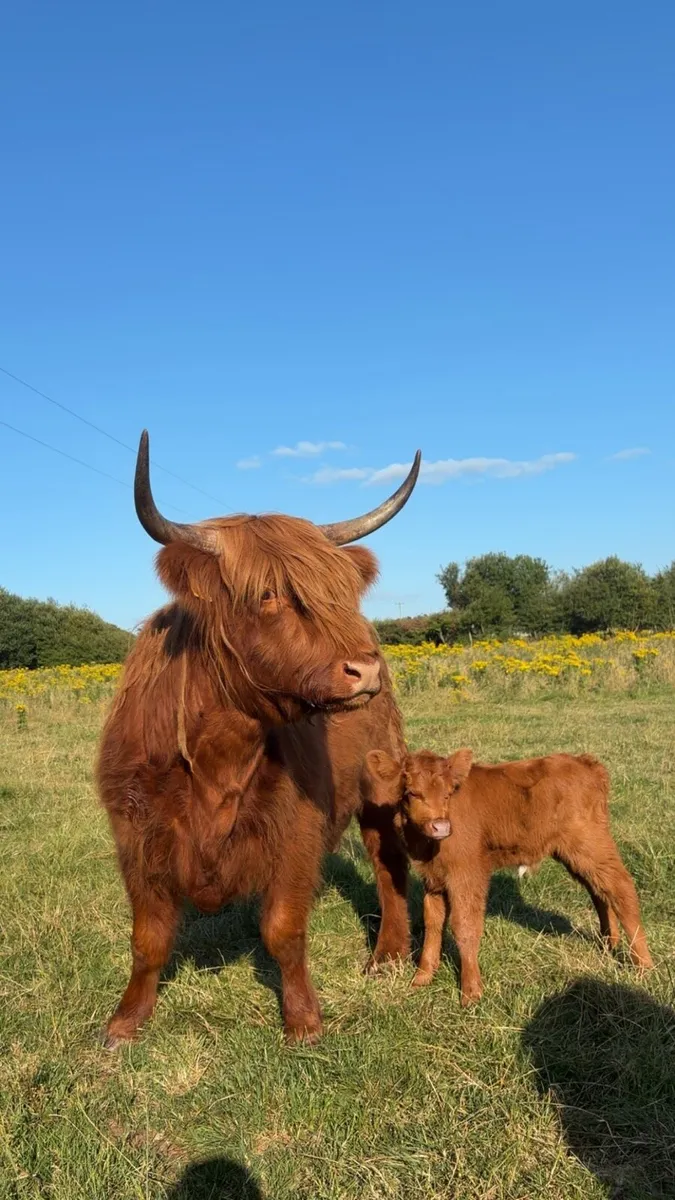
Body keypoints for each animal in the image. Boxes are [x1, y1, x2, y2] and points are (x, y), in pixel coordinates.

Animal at [98, 431, 420, 1047]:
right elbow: (147, 939)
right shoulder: (136, 836)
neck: (219, 755)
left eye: (340, 592)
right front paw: (125, 1022)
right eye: (267, 594)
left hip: (381, 786)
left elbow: (283, 930)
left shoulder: (297, 831)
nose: (366, 669)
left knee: (388, 863)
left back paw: (388, 956)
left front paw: (303, 1021)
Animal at [365, 747, 653, 1006]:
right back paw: (609, 943)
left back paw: (643, 966)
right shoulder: (434, 879)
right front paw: (422, 978)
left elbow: (465, 925)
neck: (425, 844)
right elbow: (433, 922)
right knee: (599, 891)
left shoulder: (467, 874)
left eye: (448, 794)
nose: (441, 826)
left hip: (590, 843)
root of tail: (585, 762)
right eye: (412, 793)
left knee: (621, 888)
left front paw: (471, 992)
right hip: (574, 853)